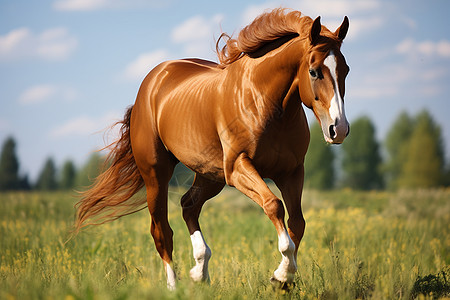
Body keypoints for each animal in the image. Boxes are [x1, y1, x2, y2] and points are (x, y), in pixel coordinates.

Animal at [75, 8, 352, 290]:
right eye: (314, 71)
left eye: (346, 70)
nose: (338, 129)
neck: (265, 102)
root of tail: (151, 83)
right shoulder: (239, 167)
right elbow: (274, 205)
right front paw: (282, 275)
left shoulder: (291, 172)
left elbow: (297, 222)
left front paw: (283, 278)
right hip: (156, 174)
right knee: (161, 230)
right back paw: (174, 287)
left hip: (210, 174)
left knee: (188, 205)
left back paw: (200, 271)